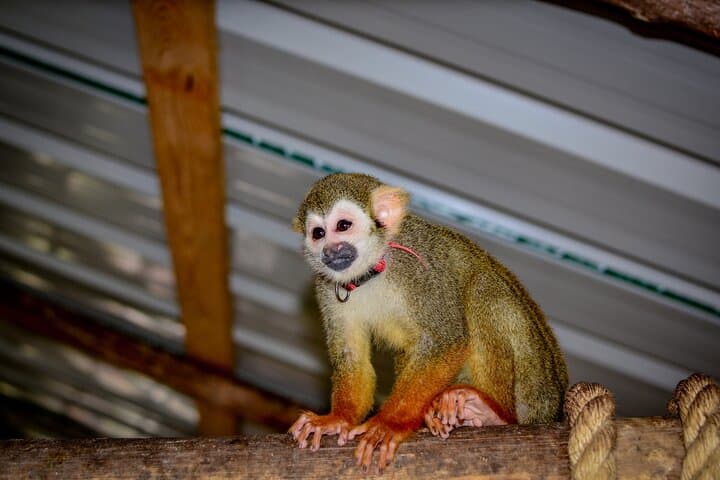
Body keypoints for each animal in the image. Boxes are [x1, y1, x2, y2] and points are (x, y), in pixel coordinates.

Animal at [289, 173, 568, 471]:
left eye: (343, 226)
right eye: (318, 233)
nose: (330, 250)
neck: (373, 269)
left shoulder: (421, 271)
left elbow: (446, 341)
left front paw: (389, 424)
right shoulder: (326, 288)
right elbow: (352, 356)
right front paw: (337, 419)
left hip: (535, 384)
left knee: (483, 288)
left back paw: (493, 413)